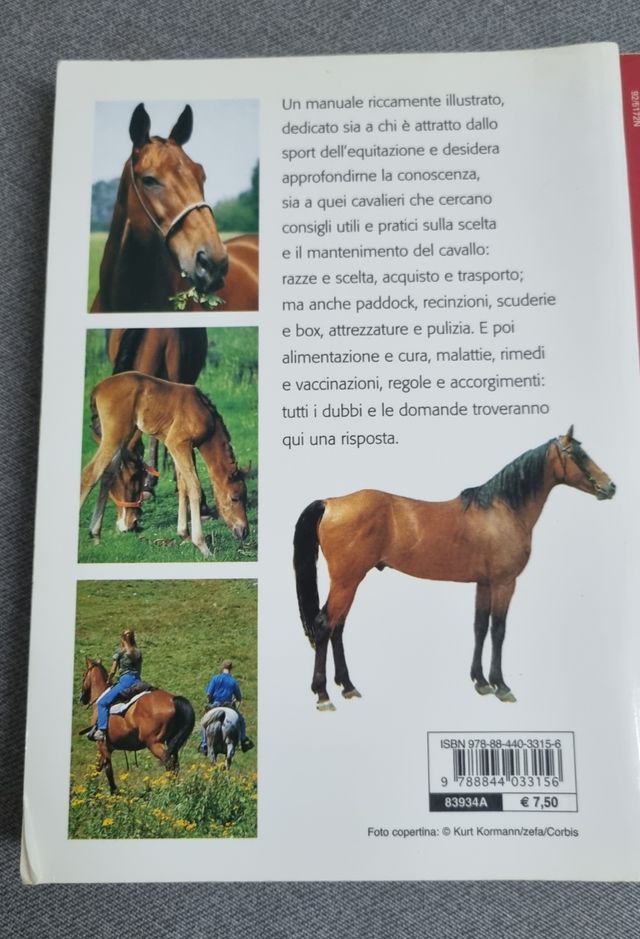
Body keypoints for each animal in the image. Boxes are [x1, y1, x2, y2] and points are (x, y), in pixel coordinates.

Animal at [79, 658, 195, 794]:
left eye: (83, 675)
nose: (82, 699)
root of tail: (173, 699)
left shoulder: (102, 744)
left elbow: (107, 768)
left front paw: (112, 791)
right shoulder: (109, 746)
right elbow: (98, 767)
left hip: (153, 743)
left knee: (169, 763)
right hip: (171, 742)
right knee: (175, 765)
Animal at [80, 371, 249, 557]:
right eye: (234, 498)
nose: (244, 531)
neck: (204, 412)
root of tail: (98, 388)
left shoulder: (179, 447)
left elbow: (183, 487)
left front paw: (184, 535)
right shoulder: (178, 443)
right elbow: (194, 488)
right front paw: (202, 545)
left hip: (123, 438)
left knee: (107, 476)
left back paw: (96, 534)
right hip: (114, 436)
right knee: (89, 474)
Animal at [293, 427, 615, 710]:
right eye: (579, 454)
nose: (610, 487)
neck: (502, 509)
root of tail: (330, 503)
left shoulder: (484, 583)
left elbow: (480, 627)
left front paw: (481, 682)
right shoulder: (504, 583)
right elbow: (498, 630)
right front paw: (501, 686)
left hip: (350, 582)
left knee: (337, 627)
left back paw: (348, 686)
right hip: (347, 581)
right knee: (324, 626)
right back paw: (323, 695)